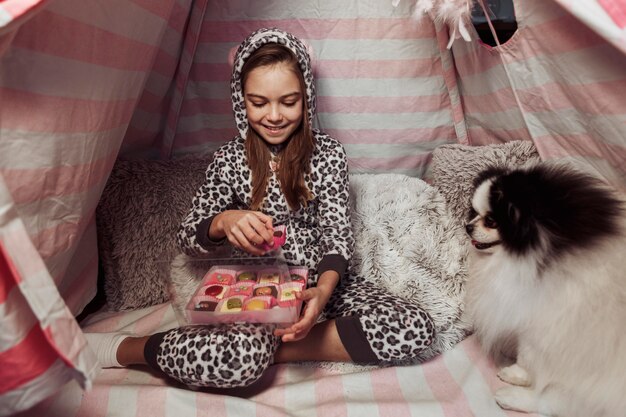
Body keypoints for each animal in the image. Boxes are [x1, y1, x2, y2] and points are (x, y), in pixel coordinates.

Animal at [464, 162, 624, 416]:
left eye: (491, 221)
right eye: (475, 212)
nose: (468, 226)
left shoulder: (537, 325)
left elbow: (526, 357)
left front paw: (516, 372)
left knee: (551, 402)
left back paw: (511, 396)